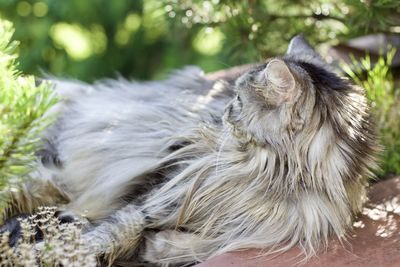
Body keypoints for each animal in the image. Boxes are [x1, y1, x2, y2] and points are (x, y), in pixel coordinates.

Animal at [1, 35, 380, 266]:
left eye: (238, 99)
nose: (223, 110)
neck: (265, 179)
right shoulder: (160, 190)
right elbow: (114, 229)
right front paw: (64, 251)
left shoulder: (263, 230)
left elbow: (207, 244)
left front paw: (161, 247)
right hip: (56, 163)